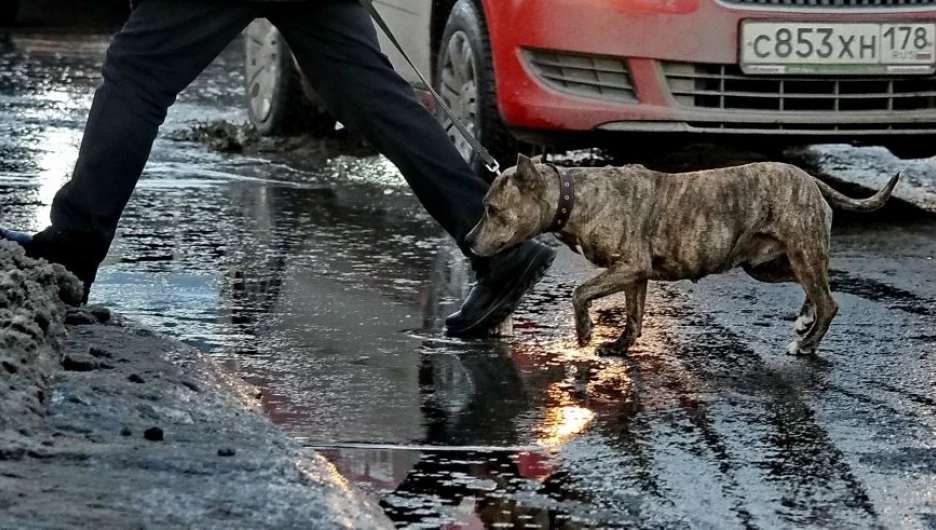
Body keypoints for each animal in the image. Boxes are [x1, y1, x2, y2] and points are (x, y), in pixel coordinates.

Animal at [468, 155, 900, 356]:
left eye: (492, 209)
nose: (470, 240)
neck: (574, 196)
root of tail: (811, 179)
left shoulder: (627, 267)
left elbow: (579, 293)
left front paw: (586, 331)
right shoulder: (634, 275)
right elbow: (634, 316)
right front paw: (619, 346)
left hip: (800, 249)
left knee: (829, 302)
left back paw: (807, 343)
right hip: (767, 263)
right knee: (815, 288)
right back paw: (805, 319)